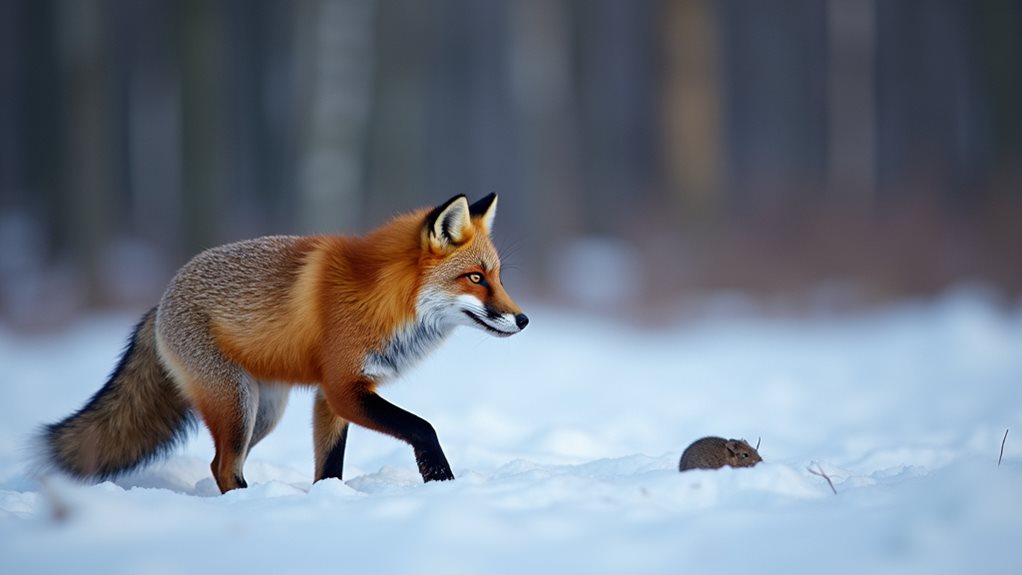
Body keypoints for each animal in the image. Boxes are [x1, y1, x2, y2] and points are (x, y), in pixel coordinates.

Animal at [35, 193, 528, 493]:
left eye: (499, 278)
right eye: (476, 278)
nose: (523, 319)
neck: (385, 299)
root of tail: (159, 303)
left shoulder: (331, 396)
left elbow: (329, 465)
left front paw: (328, 498)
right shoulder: (344, 387)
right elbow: (423, 427)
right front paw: (441, 478)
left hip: (263, 413)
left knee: (222, 463)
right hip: (236, 404)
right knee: (223, 466)